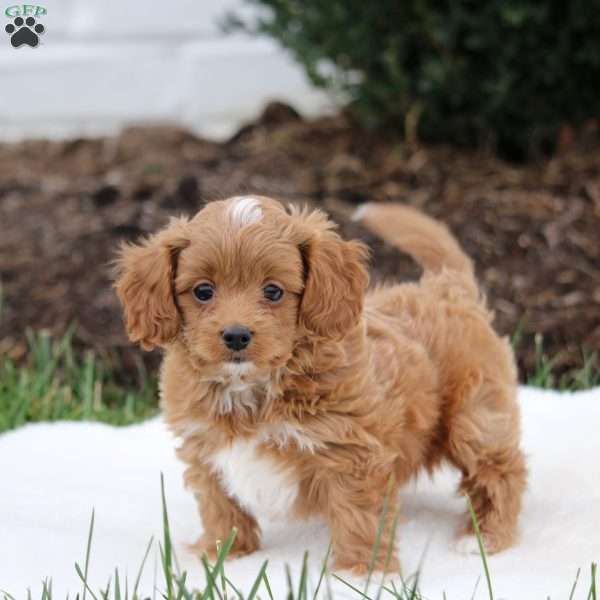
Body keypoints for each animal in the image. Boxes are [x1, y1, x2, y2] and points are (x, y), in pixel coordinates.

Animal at [115, 196, 528, 572]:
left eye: (273, 291)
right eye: (203, 291)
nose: (235, 335)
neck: (252, 387)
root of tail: (446, 287)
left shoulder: (352, 453)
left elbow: (359, 517)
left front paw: (361, 574)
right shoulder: (205, 450)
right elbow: (221, 509)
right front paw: (223, 556)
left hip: (475, 416)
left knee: (501, 470)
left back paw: (485, 538)